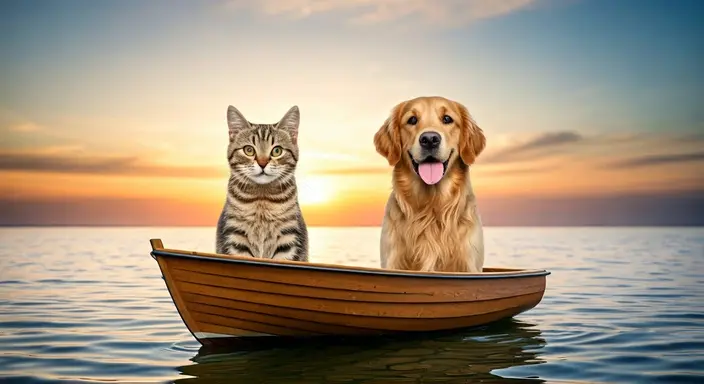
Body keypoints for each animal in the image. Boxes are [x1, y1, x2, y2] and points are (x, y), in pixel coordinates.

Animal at [216, 104, 310, 260]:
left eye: (277, 151)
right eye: (249, 150)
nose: (262, 163)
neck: (262, 199)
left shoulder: (288, 236)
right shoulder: (235, 233)